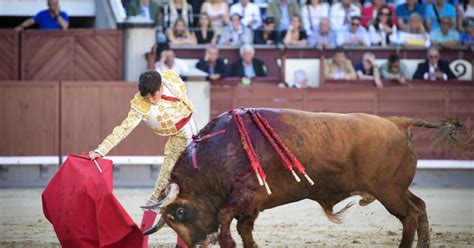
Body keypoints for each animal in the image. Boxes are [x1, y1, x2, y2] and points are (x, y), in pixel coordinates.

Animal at [143, 109, 462, 248]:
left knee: (409, 215)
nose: (197, 243)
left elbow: (225, 219)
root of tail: (398, 122)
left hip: (388, 191)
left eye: (179, 213)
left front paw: (227, 243)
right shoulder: (252, 205)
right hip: (397, 188)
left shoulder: (243, 194)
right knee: (419, 206)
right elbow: (245, 229)